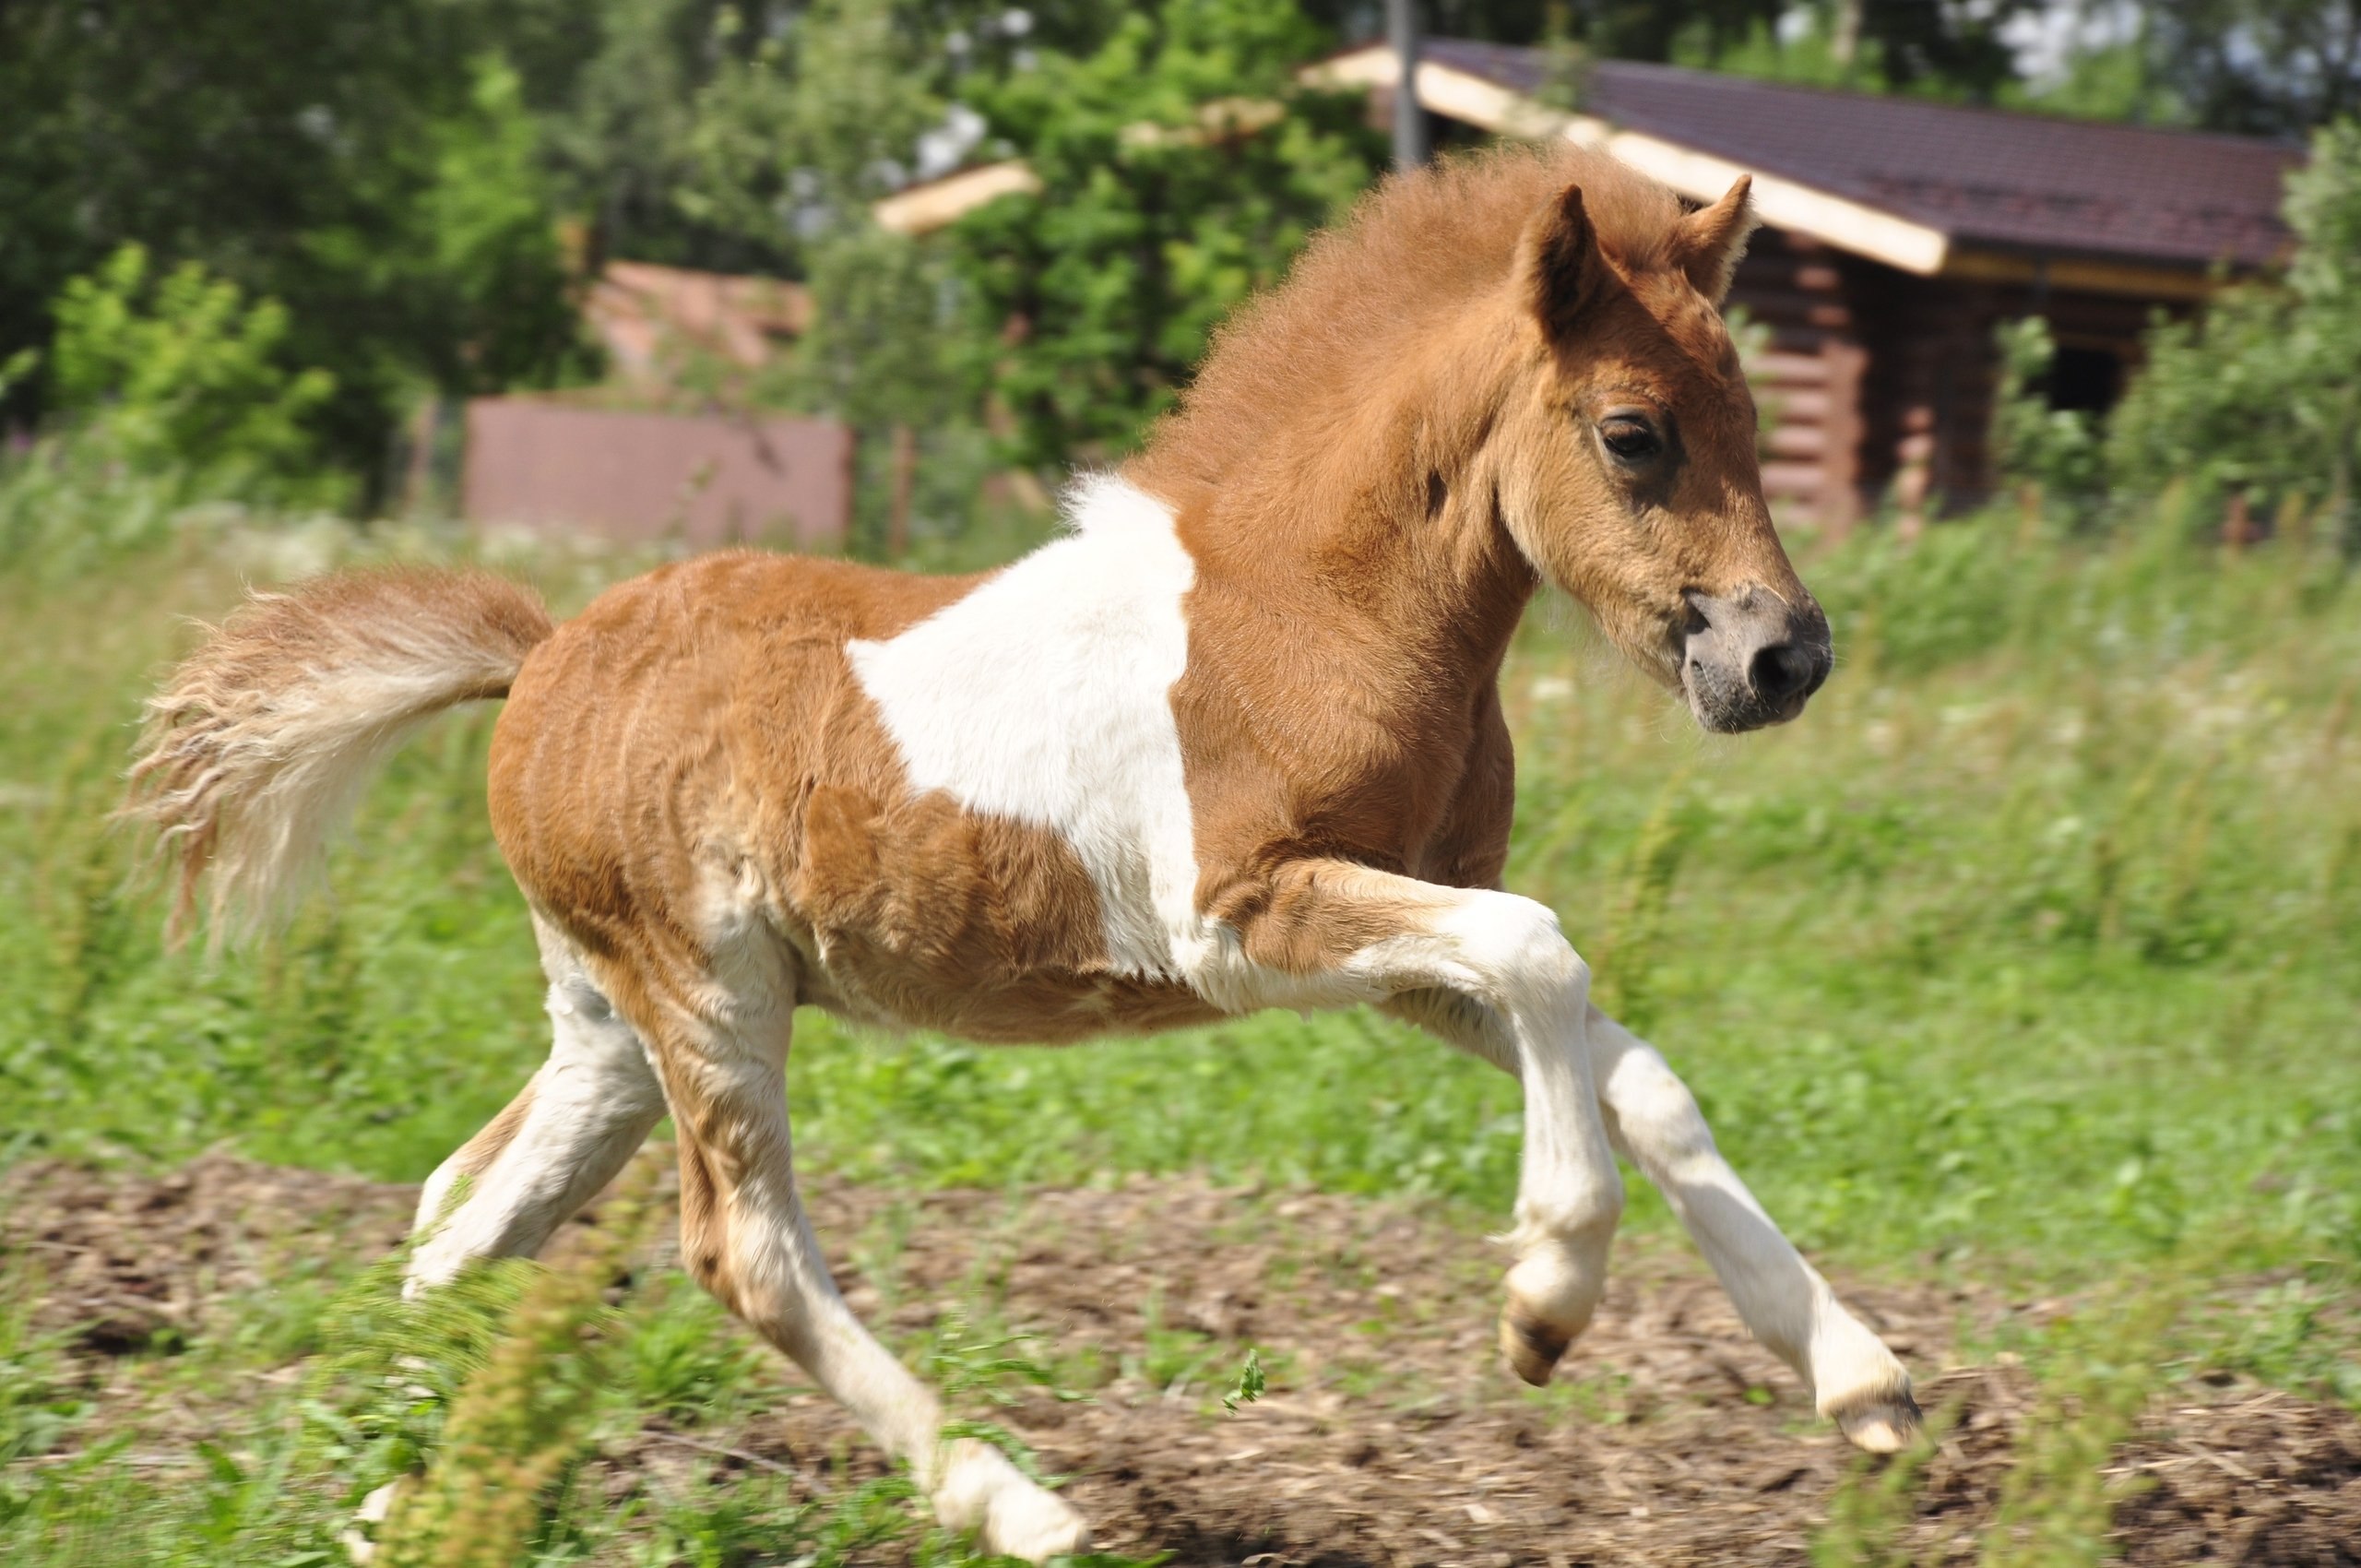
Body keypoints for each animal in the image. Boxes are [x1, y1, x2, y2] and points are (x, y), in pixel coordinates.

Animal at [134, 144, 1916, 1558]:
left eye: (1756, 420)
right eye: (1632, 434)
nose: (1782, 657)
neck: (1309, 608)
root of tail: (547, 655)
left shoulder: (1400, 946)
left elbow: (1634, 1067)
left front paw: (1859, 1378)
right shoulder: (1244, 920)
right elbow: (1548, 948)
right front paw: (1545, 1301)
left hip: (613, 1028)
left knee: (470, 1207)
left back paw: (391, 1489)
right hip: (706, 994)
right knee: (744, 1255)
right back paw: (1026, 1509)